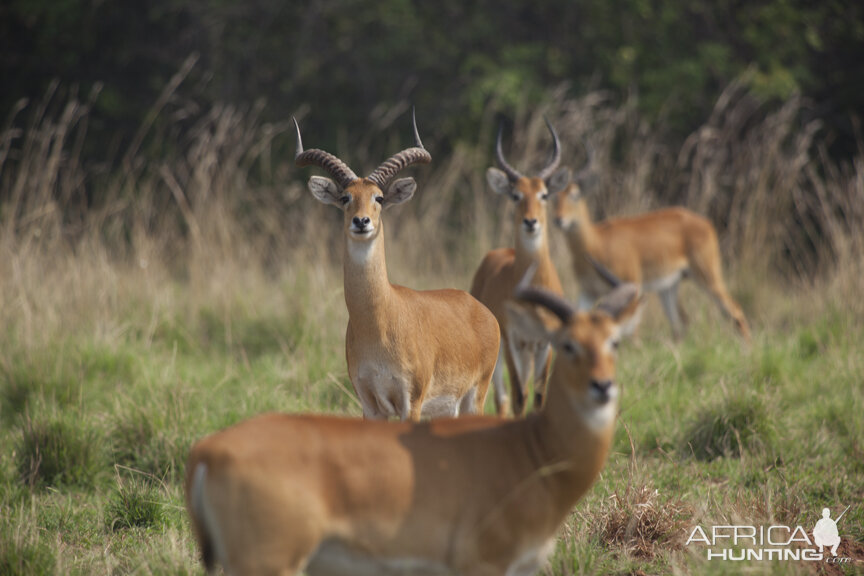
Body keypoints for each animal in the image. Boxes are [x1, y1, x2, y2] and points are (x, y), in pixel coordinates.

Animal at [296, 111, 500, 418]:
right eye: (345, 197)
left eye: (378, 197)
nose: (361, 221)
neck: (379, 321)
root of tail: (481, 308)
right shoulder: (369, 404)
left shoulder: (410, 402)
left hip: (474, 398)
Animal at [470, 118, 572, 414]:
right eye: (515, 195)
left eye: (544, 194)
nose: (530, 222)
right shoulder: (512, 339)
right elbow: (518, 397)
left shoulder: (545, 343)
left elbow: (538, 396)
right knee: (503, 398)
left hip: (528, 351)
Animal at [552, 153, 748, 342]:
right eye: (554, 196)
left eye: (575, 195)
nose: (559, 220)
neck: (597, 243)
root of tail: (705, 222)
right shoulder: (587, 293)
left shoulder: (634, 286)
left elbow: (633, 332)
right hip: (669, 287)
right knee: (681, 323)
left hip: (707, 276)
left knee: (735, 310)